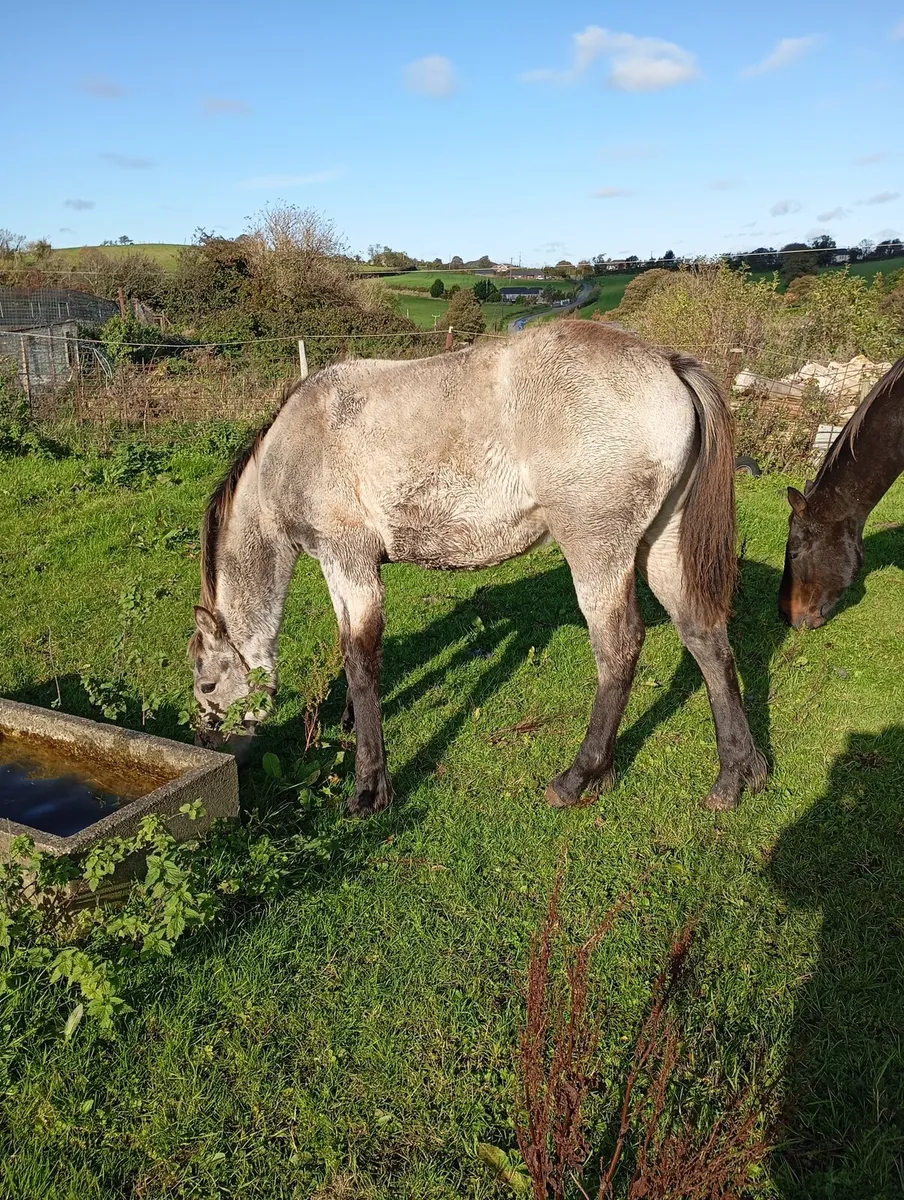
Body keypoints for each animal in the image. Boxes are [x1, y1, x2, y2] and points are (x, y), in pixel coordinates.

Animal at [189, 321, 766, 816]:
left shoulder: (347, 558)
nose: (208, 740)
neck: (292, 450)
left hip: (597, 548)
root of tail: (667, 364)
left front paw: (370, 787)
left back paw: (578, 777)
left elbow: (360, 661)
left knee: (619, 647)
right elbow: (353, 649)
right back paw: (737, 774)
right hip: (661, 544)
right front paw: (351, 723)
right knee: (705, 637)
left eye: (207, 685)